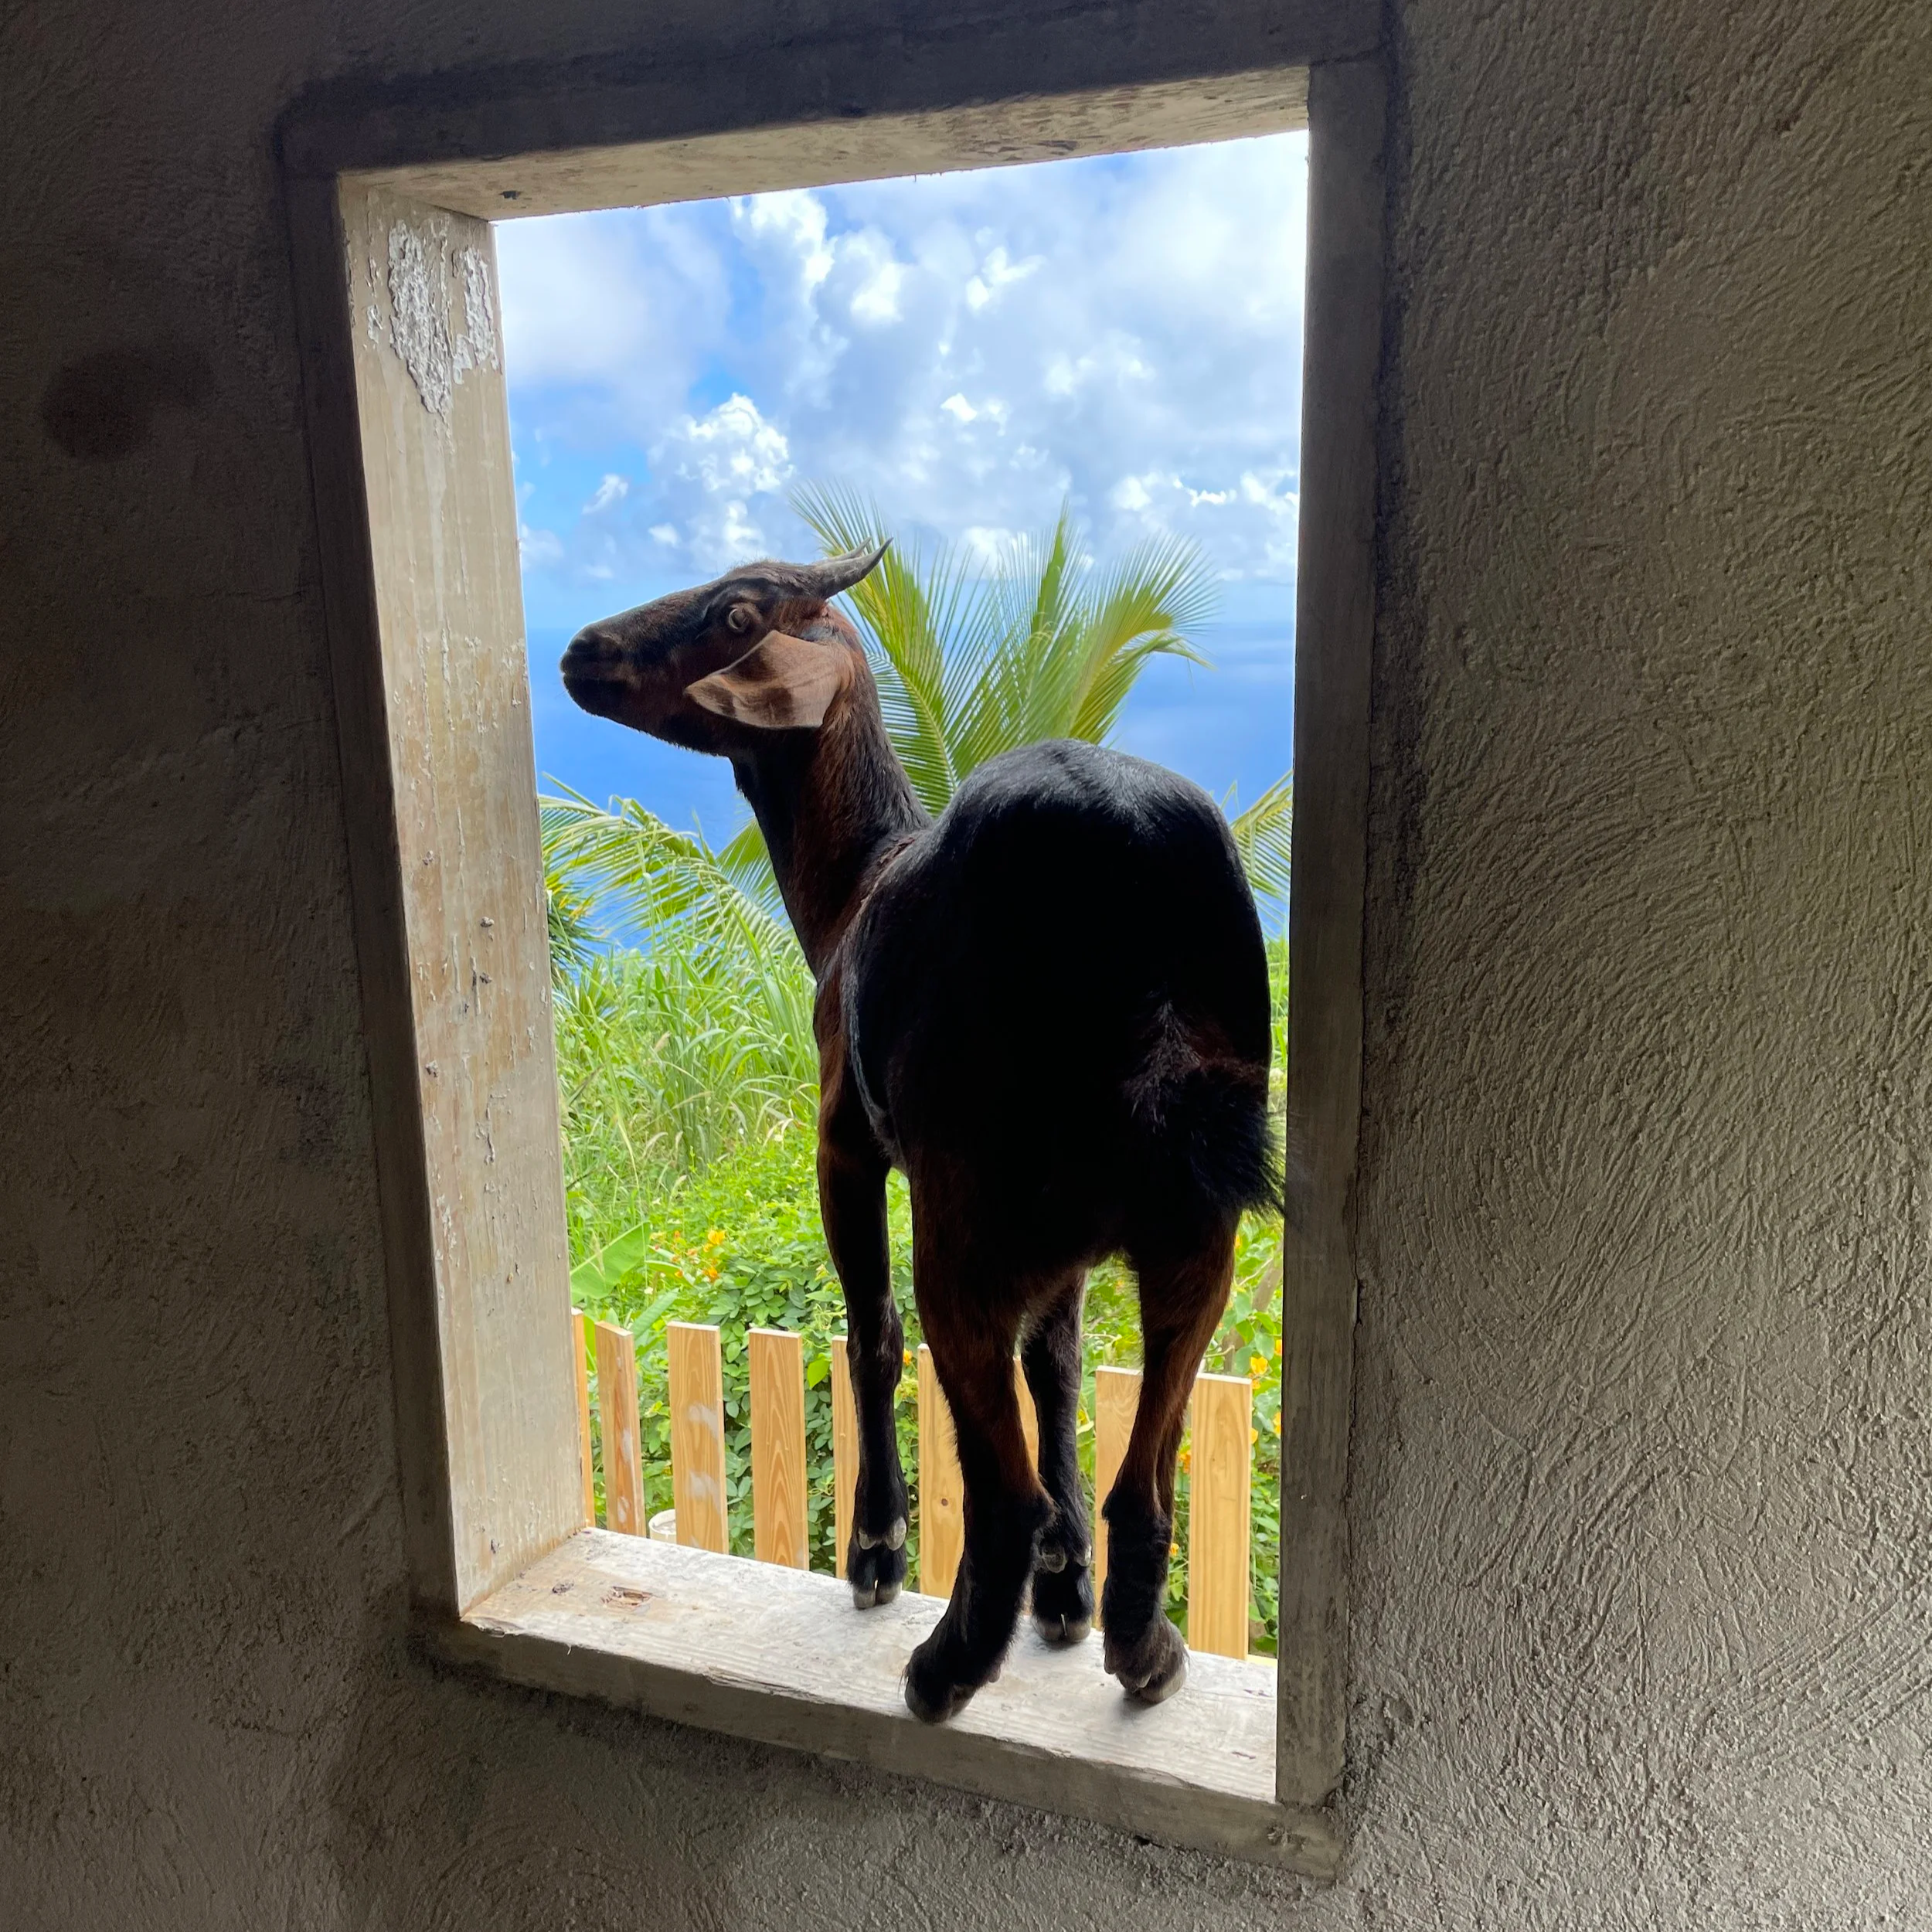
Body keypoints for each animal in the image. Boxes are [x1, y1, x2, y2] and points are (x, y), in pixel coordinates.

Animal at [560, 547, 1276, 1720]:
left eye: (737, 614)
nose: (581, 649)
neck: (855, 886)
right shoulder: (1064, 1248)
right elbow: (1059, 1360)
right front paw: (1066, 1594)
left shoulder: (843, 1144)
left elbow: (873, 1333)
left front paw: (876, 1551)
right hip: (1193, 1216)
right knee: (1142, 1474)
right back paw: (1142, 1649)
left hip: (965, 1204)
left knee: (995, 1482)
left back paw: (944, 1670)